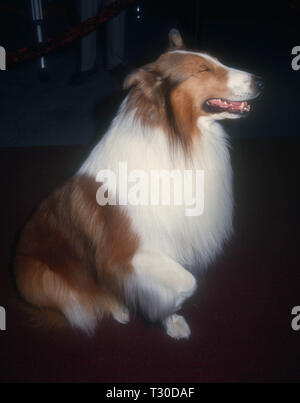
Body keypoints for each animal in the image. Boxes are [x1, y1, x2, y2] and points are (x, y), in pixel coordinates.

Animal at [14, 31, 262, 340]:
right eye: (204, 70)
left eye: (216, 60)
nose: (260, 82)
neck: (177, 139)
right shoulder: (125, 256)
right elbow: (186, 283)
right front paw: (157, 308)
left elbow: (182, 282)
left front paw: (170, 320)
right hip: (38, 277)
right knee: (78, 302)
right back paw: (116, 306)